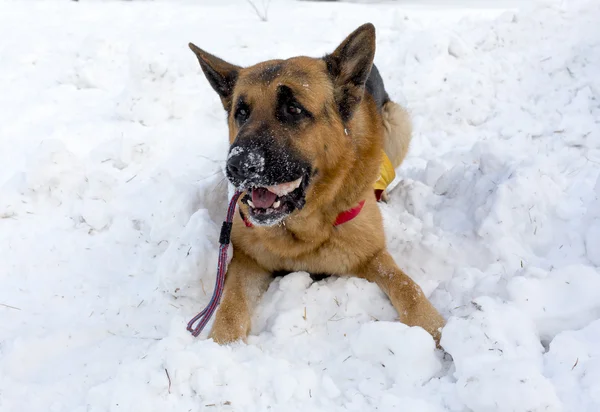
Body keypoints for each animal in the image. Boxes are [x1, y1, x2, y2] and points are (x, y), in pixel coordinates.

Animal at [191, 22, 446, 344]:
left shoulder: (373, 254)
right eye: (242, 112)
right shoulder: (247, 260)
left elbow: (406, 285)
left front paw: (433, 326)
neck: (301, 232)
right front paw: (222, 345)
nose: (237, 166)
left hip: (398, 123)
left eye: (293, 109)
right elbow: (230, 306)